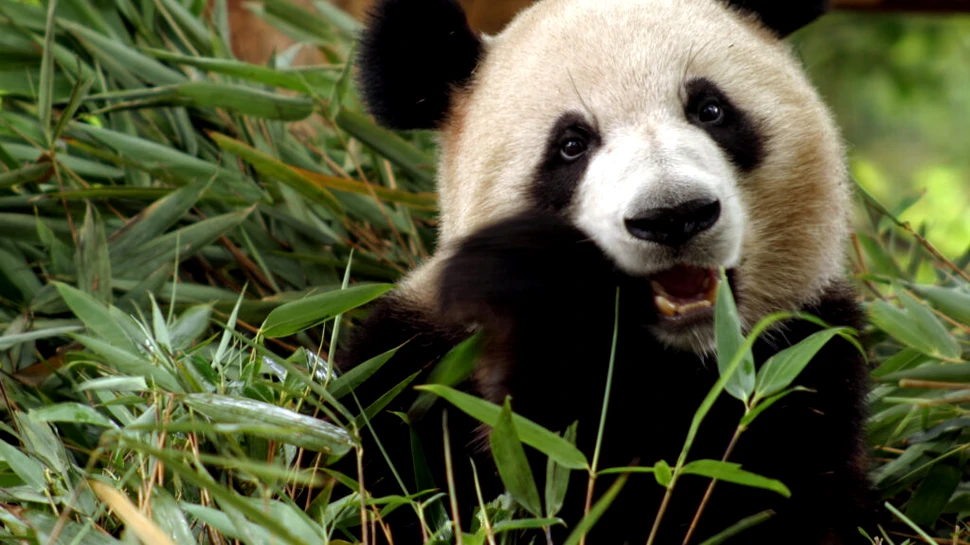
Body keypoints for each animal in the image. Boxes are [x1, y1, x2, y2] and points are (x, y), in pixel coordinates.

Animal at [341, 0, 873, 543]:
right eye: (572, 145)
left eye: (710, 110)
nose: (673, 215)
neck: (678, 357)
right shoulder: (413, 376)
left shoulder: (805, 362)